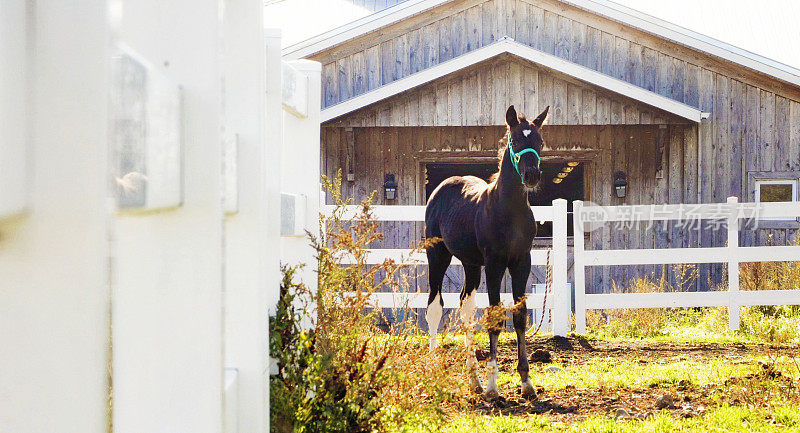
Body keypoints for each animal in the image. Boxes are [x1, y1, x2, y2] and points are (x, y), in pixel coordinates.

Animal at [422, 104, 548, 398]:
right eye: (515, 140)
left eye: (539, 142)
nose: (532, 176)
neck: (509, 210)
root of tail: (442, 187)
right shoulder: (494, 264)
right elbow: (494, 315)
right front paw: (493, 387)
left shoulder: (521, 262)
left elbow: (520, 315)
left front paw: (526, 382)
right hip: (438, 255)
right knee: (434, 305)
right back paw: (433, 366)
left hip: (470, 264)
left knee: (465, 306)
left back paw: (473, 381)